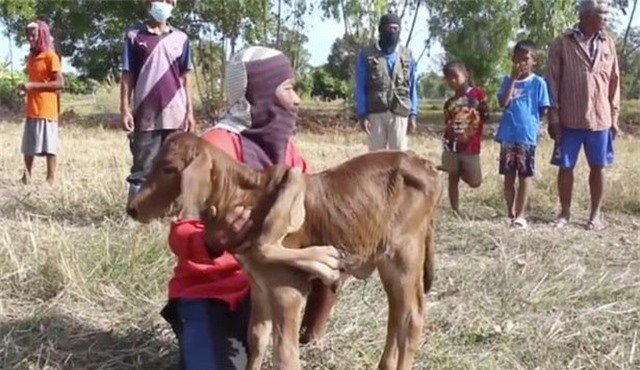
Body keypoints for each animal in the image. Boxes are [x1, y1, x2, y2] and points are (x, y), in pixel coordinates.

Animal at [127, 133, 442, 370]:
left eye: (169, 168)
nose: (133, 208)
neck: (246, 197)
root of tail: (425, 165)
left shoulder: (286, 291)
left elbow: (285, 356)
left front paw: (324, 261)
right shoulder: (259, 288)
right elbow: (256, 339)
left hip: (404, 254)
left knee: (412, 317)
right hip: (391, 262)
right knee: (397, 315)